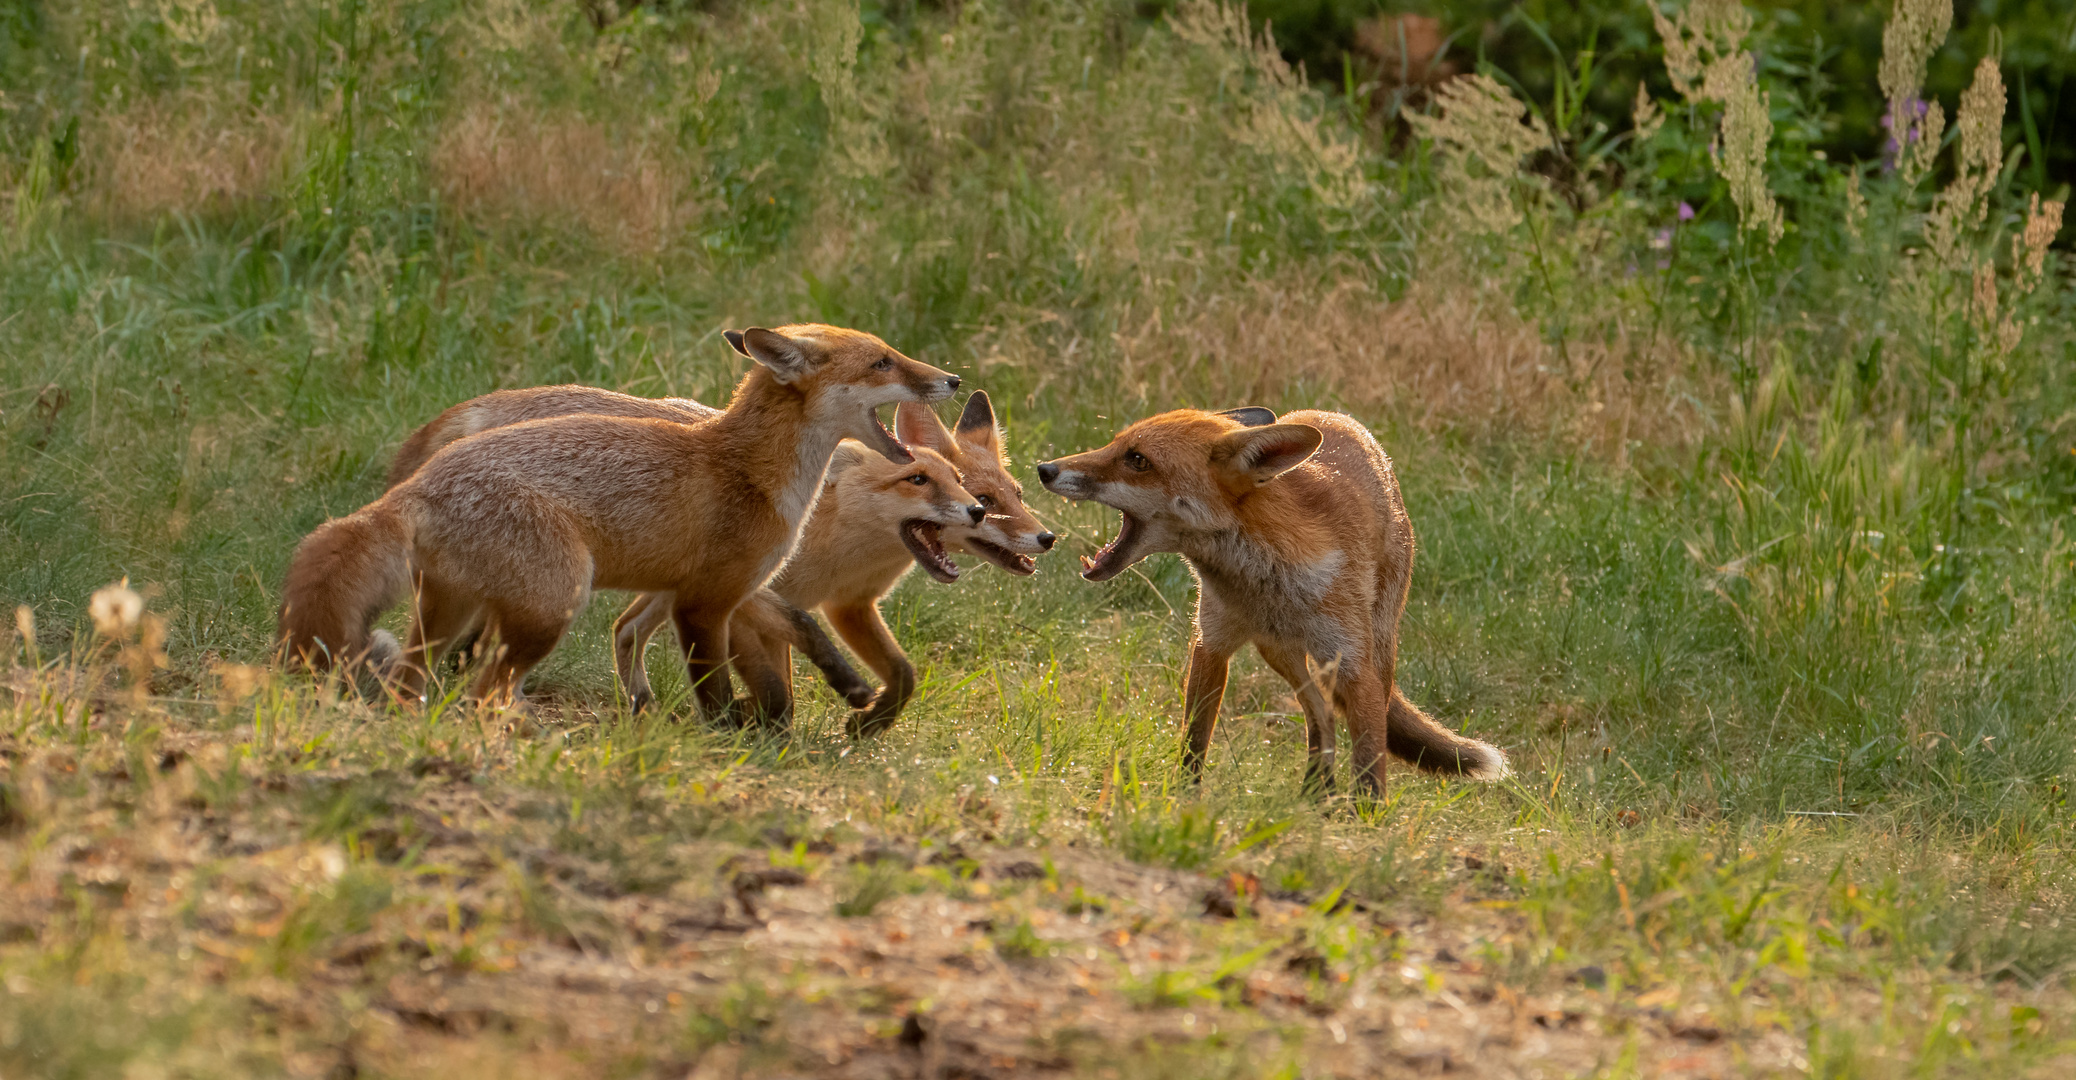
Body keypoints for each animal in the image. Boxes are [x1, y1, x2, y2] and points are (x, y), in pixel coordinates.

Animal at [276, 326, 954, 718]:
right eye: (883, 364)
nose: (951, 377)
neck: (752, 473)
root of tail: (416, 485)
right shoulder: (706, 602)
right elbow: (718, 691)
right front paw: (732, 741)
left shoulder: (718, 588)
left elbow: (792, 639)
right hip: (551, 607)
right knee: (480, 692)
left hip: (450, 614)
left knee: (415, 688)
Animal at [1038, 405, 1511, 793]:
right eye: (1114, 443)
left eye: (1137, 460)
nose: (1044, 468)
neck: (1263, 584)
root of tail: (1338, 417)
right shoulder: (1211, 643)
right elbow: (1193, 747)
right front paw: (1183, 803)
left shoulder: (1354, 664)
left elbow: (1370, 767)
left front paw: (1364, 828)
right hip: (1280, 653)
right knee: (1320, 714)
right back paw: (1316, 794)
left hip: (1375, 648)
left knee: (1342, 713)